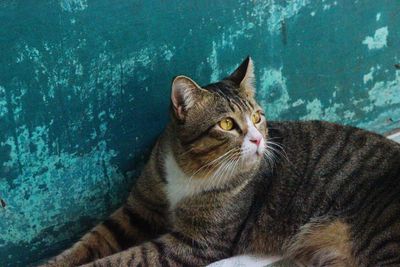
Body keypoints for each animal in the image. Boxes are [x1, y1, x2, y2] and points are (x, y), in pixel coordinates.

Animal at [41, 57, 400, 266]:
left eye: (257, 117)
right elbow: (91, 241)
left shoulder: (196, 243)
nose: (257, 139)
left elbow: (126, 258)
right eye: (226, 124)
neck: (190, 170)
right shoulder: (137, 210)